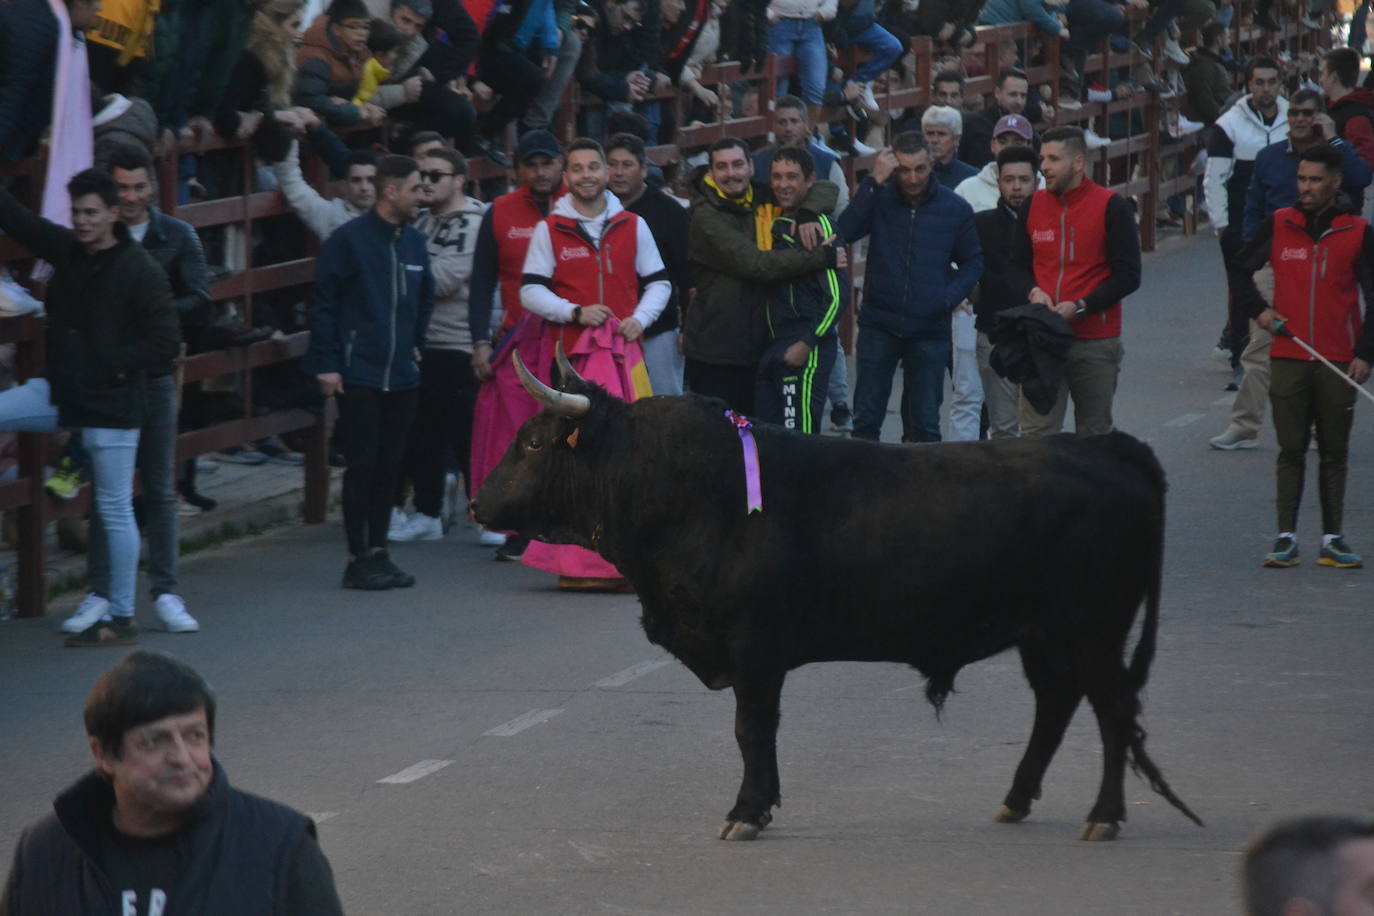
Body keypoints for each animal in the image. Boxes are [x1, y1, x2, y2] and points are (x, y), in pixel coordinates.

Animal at [472, 357, 1203, 845]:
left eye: (532, 442)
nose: (477, 505)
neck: (692, 492)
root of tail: (1107, 446)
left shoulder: (754, 650)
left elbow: (751, 730)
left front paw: (747, 811)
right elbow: (757, 732)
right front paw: (760, 805)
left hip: (1092, 630)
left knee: (1112, 710)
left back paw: (1103, 817)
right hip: (1042, 635)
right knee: (1056, 705)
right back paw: (1017, 800)